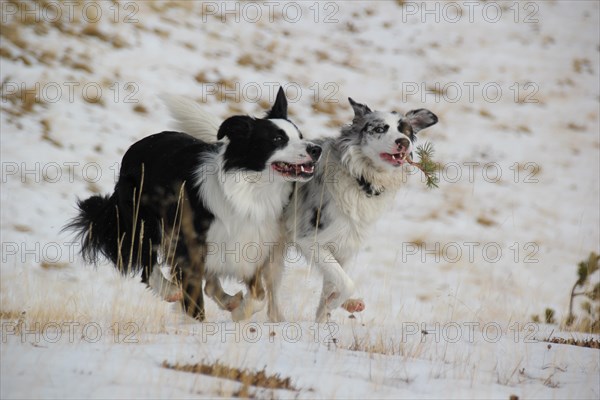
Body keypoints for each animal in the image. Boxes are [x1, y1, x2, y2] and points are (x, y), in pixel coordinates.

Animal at [63, 88, 322, 322]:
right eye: (277, 139)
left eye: (300, 136)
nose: (316, 149)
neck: (252, 190)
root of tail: (137, 146)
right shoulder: (188, 243)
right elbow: (195, 297)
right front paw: (196, 326)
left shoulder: (253, 244)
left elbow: (258, 296)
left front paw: (239, 312)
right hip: (144, 221)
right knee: (147, 265)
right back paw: (170, 290)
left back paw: (229, 300)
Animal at [164, 95, 436, 320]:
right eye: (380, 128)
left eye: (406, 130)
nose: (403, 142)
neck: (358, 177)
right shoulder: (311, 240)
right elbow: (346, 284)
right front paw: (337, 303)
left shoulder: (344, 247)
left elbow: (335, 286)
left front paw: (325, 320)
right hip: (268, 250)